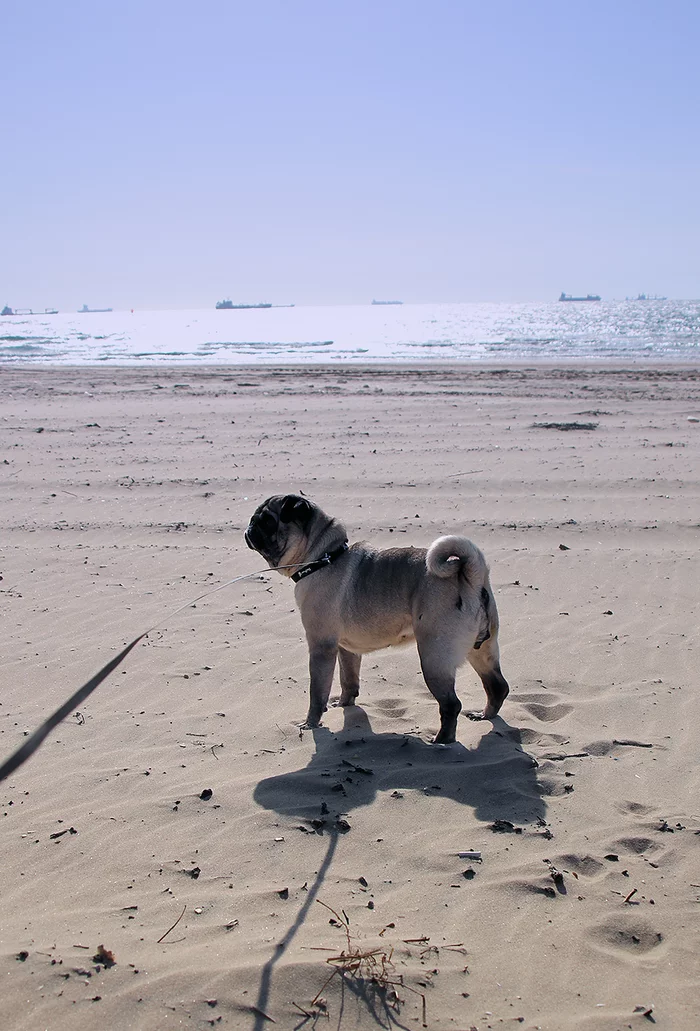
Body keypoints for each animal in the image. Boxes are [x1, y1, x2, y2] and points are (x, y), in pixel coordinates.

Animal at [246, 492, 509, 742]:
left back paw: (443, 741)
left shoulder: (322, 647)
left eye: (267, 521)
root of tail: (471, 578)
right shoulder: (346, 649)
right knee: (497, 686)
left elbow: (317, 692)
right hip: (481, 650)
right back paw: (485, 716)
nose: (249, 527)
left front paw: (310, 723)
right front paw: (344, 704)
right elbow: (348, 680)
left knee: (451, 704)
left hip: (434, 657)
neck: (324, 557)